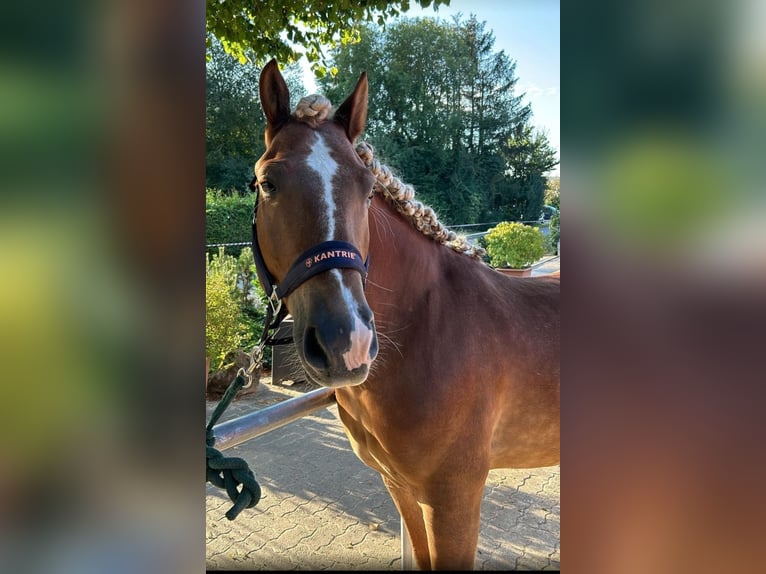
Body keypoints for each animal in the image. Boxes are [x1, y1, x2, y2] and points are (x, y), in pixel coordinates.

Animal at [255, 60, 560, 572]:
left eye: (366, 188)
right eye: (267, 183)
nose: (347, 342)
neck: (427, 328)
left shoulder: (454, 500)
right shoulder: (399, 487)